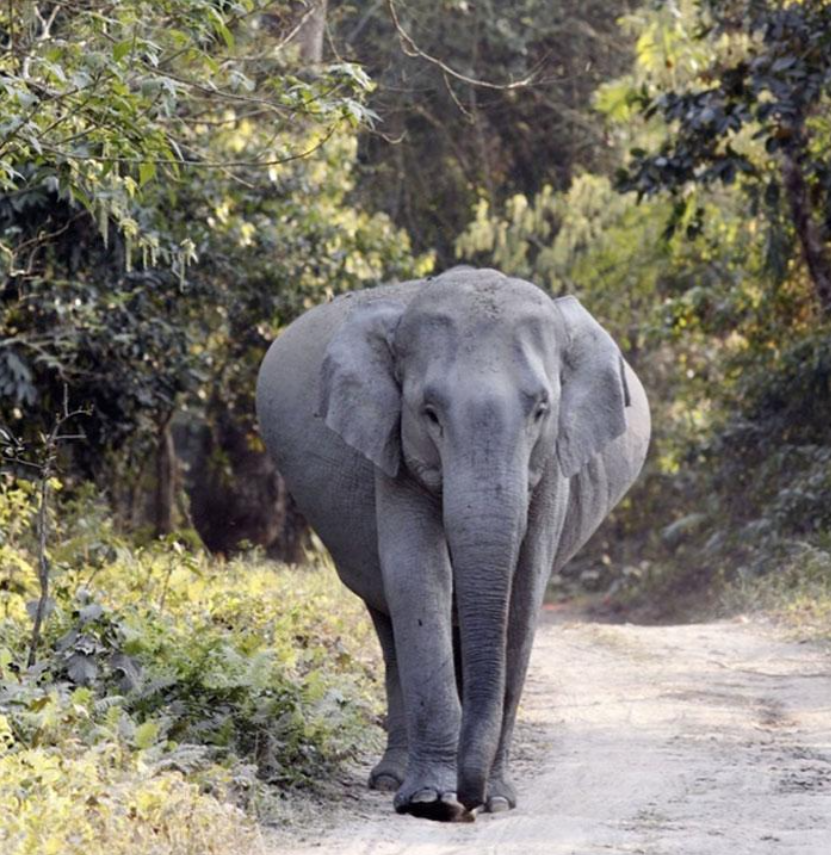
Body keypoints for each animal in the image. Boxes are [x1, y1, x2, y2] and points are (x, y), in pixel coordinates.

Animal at [254, 268, 648, 824]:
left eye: (541, 410)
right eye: (430, 413)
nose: (472, 800)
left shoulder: (552, 464)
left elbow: (524, 590)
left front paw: (499, 799)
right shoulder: (393, 448)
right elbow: (419, 578)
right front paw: (431, 803)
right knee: (389, 622)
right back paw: (391, 779)